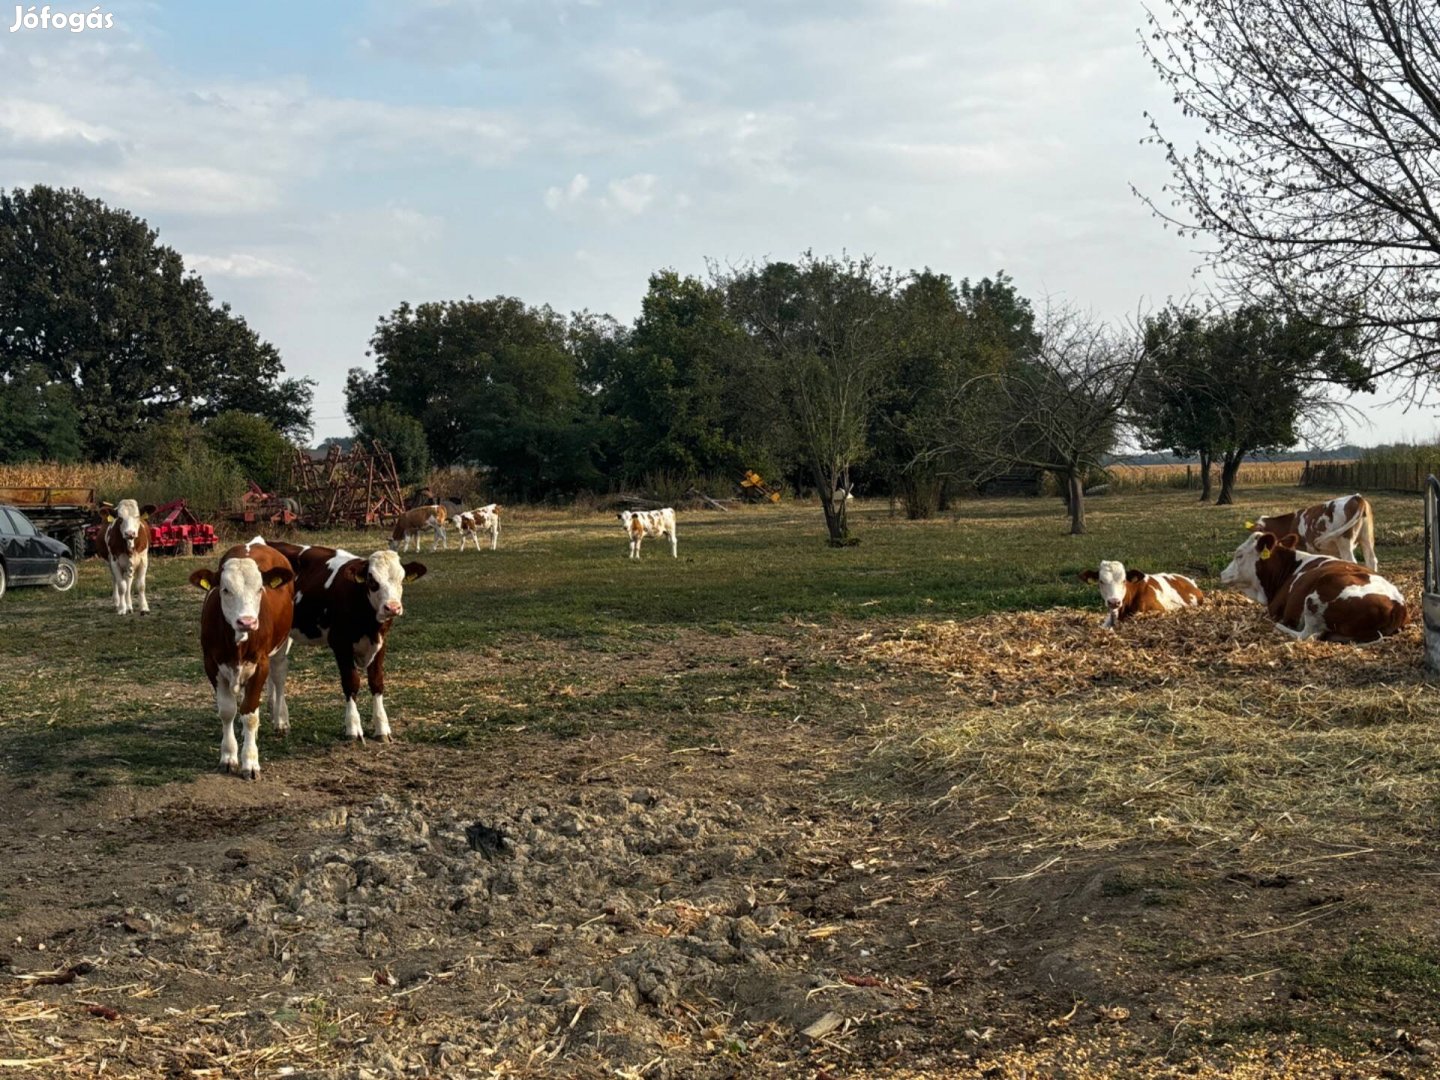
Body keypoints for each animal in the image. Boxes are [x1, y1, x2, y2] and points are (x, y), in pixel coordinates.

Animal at [188, 544, 295, 783]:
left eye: (260, 589)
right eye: (225, 590)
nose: (247, 621)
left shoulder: (261, 665)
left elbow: (250, 715)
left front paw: (250, 761)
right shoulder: (212, 665)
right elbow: (228, 711)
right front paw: (228, 756)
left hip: (281, 647)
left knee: (279, 678)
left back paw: (280, 720)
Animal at [270, 541, 423, 743]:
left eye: (401, 579)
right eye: (372, 580)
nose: (392, 607)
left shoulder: (381, 643)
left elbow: (376, 682)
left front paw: (382, 728)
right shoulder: (340, 643)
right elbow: (351, 682)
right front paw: (353, 728)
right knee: (278, 673)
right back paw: (280, 722)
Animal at [1215, 532, 1405, 642]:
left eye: (1239, 555)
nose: (1222, 574)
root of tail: (1397, 604)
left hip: (1313, 600)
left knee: (1308, 636)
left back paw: (1281, 627)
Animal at [1244, 498, 1376, 576]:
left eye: (1259, 531)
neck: (1291, 522)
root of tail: (1356, 497)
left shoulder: (1299, 547)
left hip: (1344, 542)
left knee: (1352, 561)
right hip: (1367, 539)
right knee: (1371, 560)